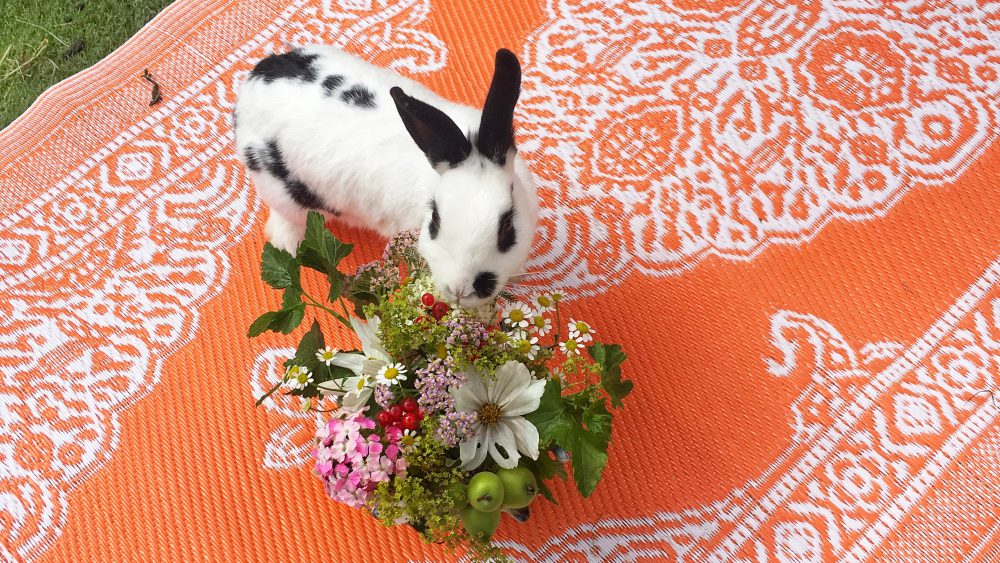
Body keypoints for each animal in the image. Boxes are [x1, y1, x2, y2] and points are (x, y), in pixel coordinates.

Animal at [232, 45, 540, 306]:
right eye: (434, 222)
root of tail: (254, 81)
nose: (460, 289)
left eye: (507, 228)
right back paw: (289, 244)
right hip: (282, 191)